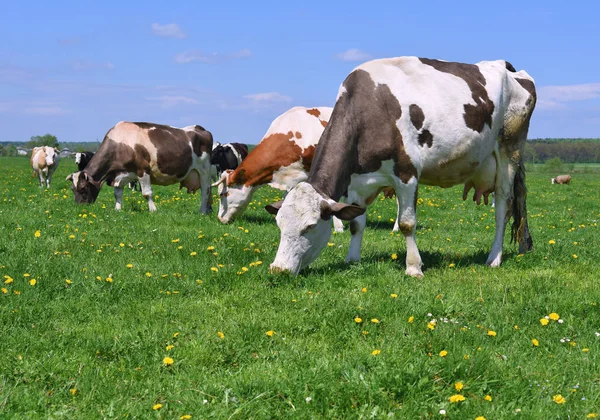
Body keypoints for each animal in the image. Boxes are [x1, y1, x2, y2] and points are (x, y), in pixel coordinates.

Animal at [66, 121, 213, 213]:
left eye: (83, 188)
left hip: (204, 170)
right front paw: (117, 209)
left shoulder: (143, 170)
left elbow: (147, 193)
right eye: (72, 189)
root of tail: (200, 128)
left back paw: (201, 211)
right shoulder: (120, 174)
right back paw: (207, 210)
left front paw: (153, 210)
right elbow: (117, 194)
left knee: (205, 190)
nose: (79, 207)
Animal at [264, 56, 536, 278]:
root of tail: (505, 66)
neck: (369, 110)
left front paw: (414, 267)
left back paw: (494, 257)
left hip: (509, 150)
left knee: (504, 205)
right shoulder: (357, 182)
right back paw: (523, 247)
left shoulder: (407, 174)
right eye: (279, 224)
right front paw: (352, 259)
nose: (278, 269)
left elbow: (407, 223)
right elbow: (356, 223)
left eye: (310, 226)